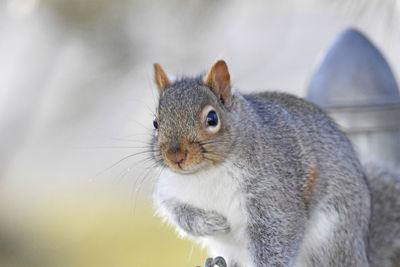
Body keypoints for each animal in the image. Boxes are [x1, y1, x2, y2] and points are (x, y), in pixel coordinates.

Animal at [149, 60, 400, 267]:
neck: (206, 173)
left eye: (212, 118)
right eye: (155, 122)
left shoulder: (273, 194)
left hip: (331, 238)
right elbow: (179, 214)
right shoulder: (171, 190)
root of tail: (361, 252)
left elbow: (278, 234)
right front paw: (215, 223)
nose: (175, 156)